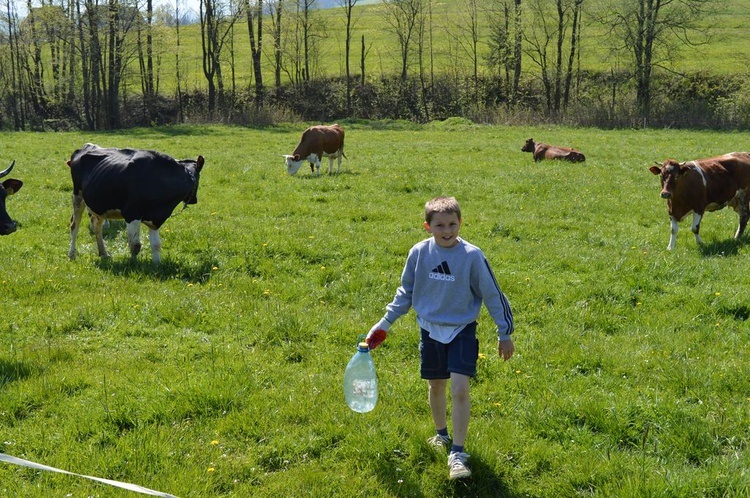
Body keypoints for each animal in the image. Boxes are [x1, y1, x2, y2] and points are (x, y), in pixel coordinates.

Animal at [68, 142, 206, 262]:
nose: (194, 200)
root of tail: (84, 148)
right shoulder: (132, 214)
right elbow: (135, 245)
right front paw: (133, 263)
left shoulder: (157, 218)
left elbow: (156, 244)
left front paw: (157, 264)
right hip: (78, 196)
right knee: (75, 225)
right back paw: (72, 254)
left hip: (100, 204)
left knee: (97, 226)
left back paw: (104, 253)